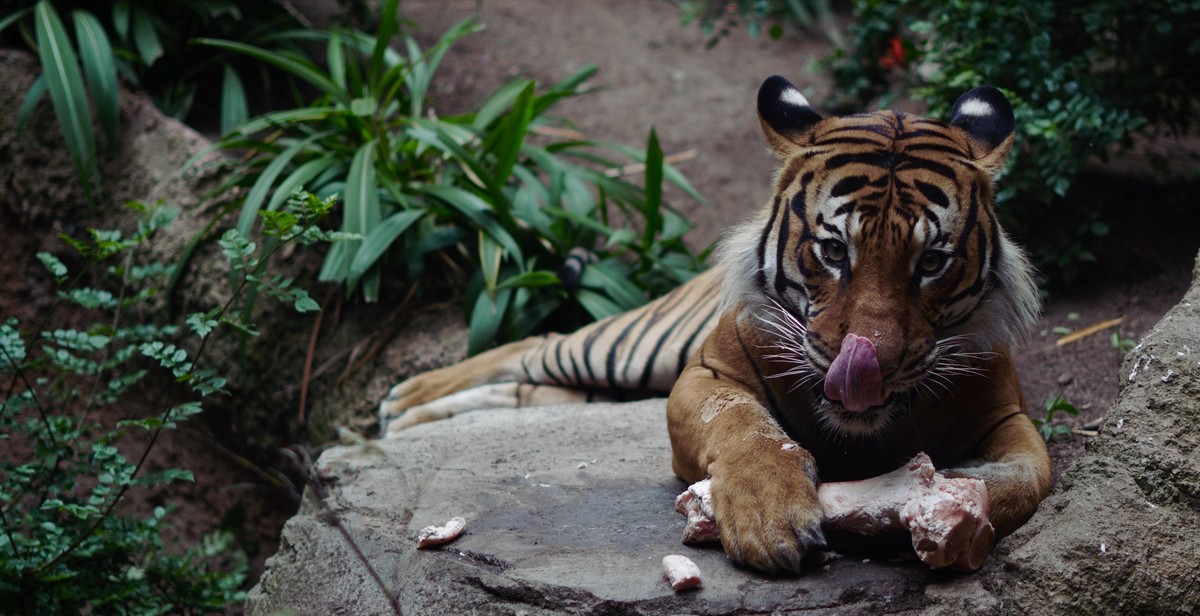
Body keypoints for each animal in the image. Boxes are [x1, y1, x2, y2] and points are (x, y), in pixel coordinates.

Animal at [381, 74, 1051, 573]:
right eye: (835, 251)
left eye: (932, 262)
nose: (870, 368)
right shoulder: (704, 373)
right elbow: (741, 425)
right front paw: (769, 518)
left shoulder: (1007, 415)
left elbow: (1028, 478)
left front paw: (938, 508)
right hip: (636, 347)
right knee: (539, 343)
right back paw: (403, 402)